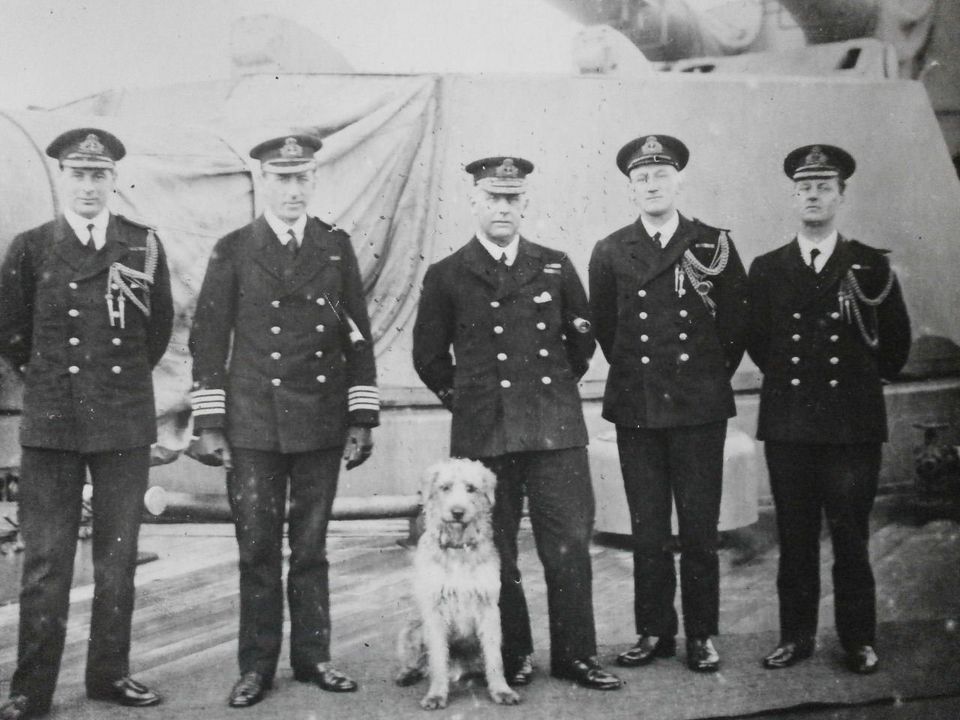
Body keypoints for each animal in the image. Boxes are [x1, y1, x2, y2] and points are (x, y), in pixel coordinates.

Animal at [395, 458, 520, 710]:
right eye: (445, 487)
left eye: (471, 488)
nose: (458, 513)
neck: (458, 548)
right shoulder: (435, 610)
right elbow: (437, 658)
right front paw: (436, 694)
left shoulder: (488, 608)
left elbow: (494, 658)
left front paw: (501, 690)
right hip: (412, 629)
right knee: (418, 661)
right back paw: (407, 673)